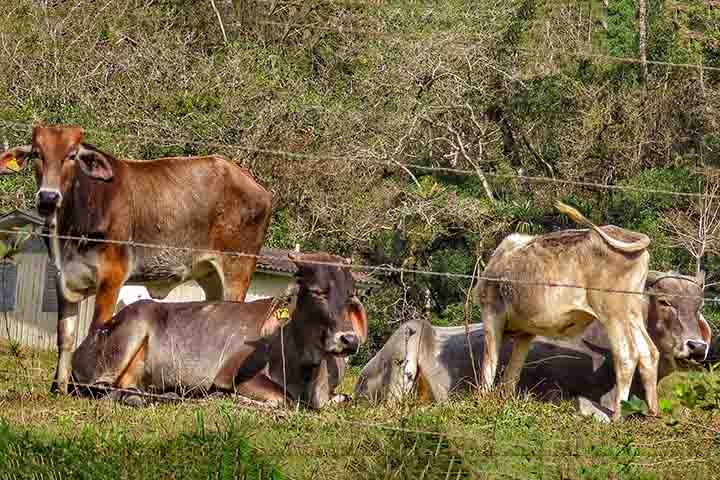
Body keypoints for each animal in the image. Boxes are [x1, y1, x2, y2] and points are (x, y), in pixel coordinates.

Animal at [71, 251, 368, 408]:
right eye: (318, 292)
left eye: (351, 295)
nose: (349, 340)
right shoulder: (235, 376)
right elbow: (283, 400)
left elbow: (345, 399)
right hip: (131, 330)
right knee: (96, 390)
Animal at [472, 201, 660, 418]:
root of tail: (624, 233)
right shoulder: (526, 332)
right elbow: (512, 372)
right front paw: (504, 401)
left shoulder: (491, 313)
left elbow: (489, 363)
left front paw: (483, 401)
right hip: (632, 311)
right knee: (649, 352)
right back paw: (653, 412)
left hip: (612, 312)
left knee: (627, 355)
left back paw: (618, 415)